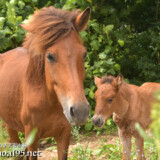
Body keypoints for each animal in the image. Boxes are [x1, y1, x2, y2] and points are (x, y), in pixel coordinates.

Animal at [0, 6, 90, 160]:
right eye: (50, 56)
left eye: (84, 55)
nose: (80, 111)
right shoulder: (32, 138)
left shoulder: (64, 135)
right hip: (10, 127)